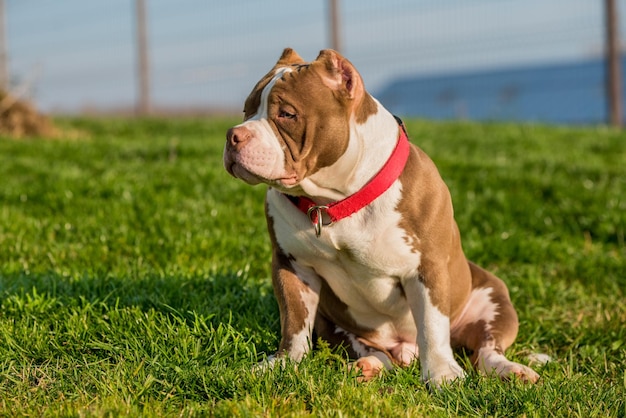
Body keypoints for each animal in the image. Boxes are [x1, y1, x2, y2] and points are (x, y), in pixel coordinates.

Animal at [223, 46, 536, 386]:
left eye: (286, 114)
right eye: (246, 110)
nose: (233, 135)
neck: (335, 199)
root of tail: (406, 350)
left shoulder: (427, 268)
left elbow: (432, 327)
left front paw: (442, 374)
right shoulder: (291, 265)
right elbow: (294, 324)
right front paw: (282, 364)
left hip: (494, 298)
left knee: (485, 351)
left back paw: (512, 370)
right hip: (332, 322)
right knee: (379, 354)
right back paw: (367, 366)